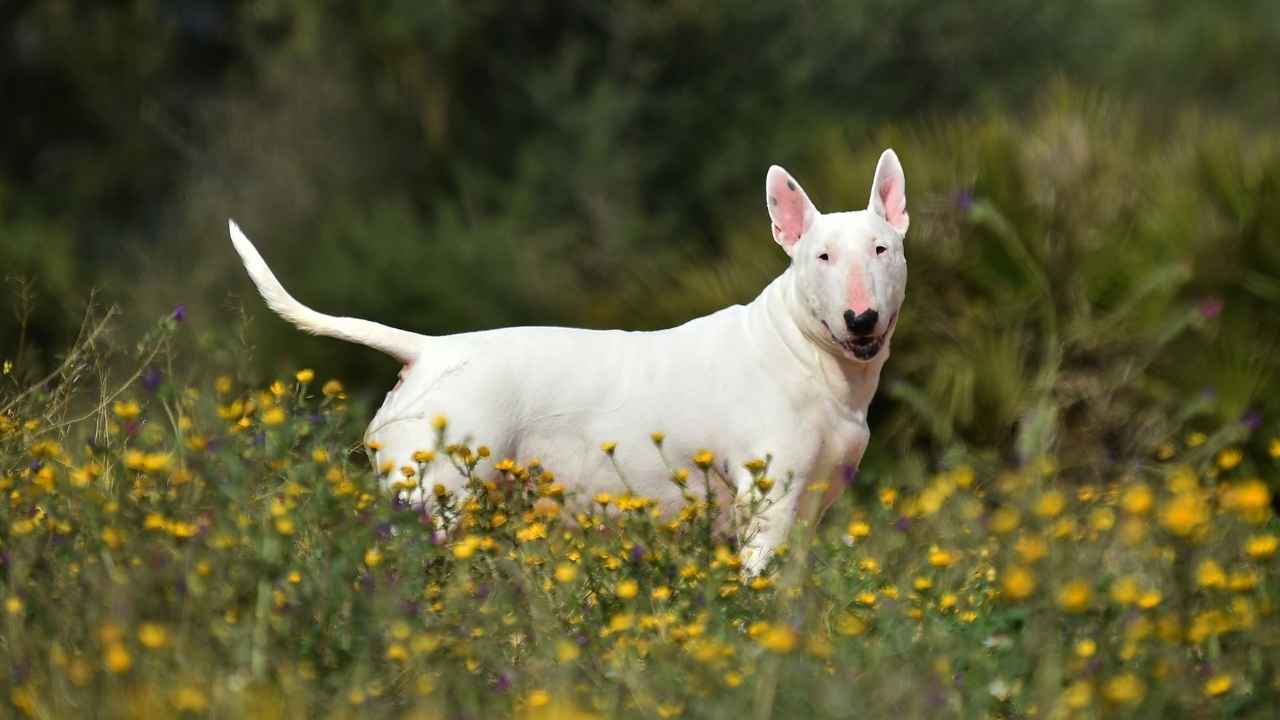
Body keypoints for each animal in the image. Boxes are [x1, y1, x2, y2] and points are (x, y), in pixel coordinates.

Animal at [232, 148, 911, 568]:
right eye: (821, 257)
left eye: (882, 249)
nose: (861, 320)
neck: (810, 355)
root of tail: (429, 351)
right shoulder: (766, 504)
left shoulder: (810, 509)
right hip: (434, 497)